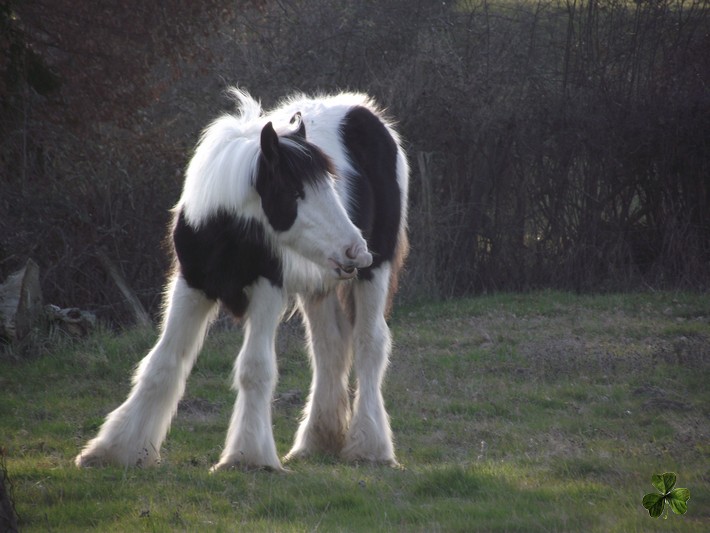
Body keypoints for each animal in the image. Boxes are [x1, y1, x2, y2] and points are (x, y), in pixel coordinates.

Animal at [74, 88, 408, 470]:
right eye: (295, 193)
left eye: (331, 185)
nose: (356, 249)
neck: (225, 229)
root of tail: (366, 112)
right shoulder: (191, 285)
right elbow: (162, 362)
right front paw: (116, 449)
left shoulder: (267, 288)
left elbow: (255, 368)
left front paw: (249, 456)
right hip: (320, 285)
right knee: (330, 349)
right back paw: (316, 443)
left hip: (374, 273)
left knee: (370, 344)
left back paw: (370, 447)